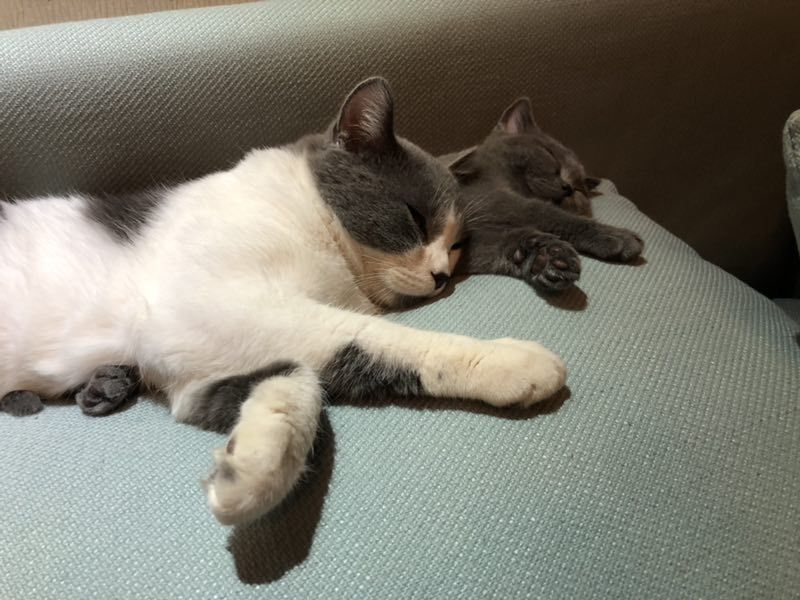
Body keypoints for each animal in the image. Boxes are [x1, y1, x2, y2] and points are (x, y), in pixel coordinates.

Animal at [0, 77, 566, 525]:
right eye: (415, 219)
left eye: (456, 244)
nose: (443, 276)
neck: (315, 223)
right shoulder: (207, 309)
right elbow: (373, 338)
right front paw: (509, 362)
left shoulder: (190, 374)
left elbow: (299, 377)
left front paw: (253, 464)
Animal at [445, 97, 643, 291]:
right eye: (550, 153)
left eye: (579, 190)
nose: (568, 187)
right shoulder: (486, 197)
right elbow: (545, 213)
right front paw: (618, 236)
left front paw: (543, 258)